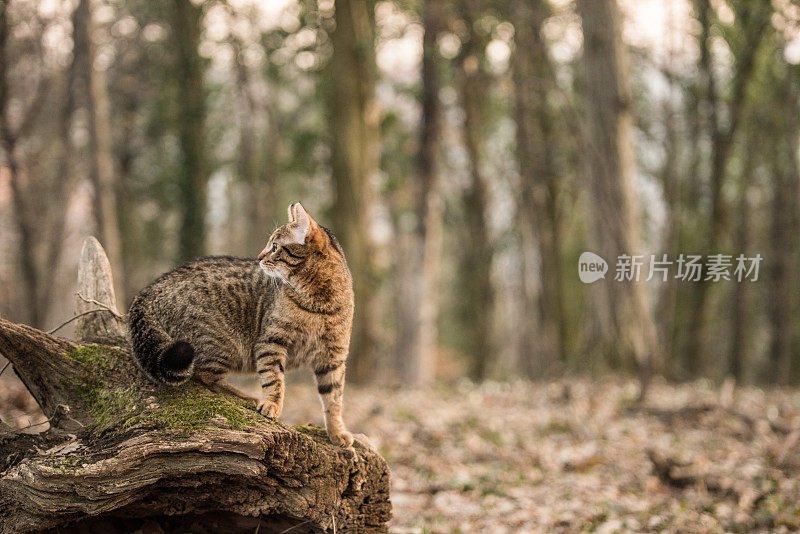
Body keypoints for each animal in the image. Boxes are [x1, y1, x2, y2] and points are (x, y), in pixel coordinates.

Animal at [130, 202, 354, 448]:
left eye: (275, 246)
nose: (259, 256)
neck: (318, 302)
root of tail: (149, 289)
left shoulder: (333, 357)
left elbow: (333, 398)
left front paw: (337, 432)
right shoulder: (271, 341)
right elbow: (274, 378)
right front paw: (272, 404)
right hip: (219, 343)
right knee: (205, 377)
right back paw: (246, 396)